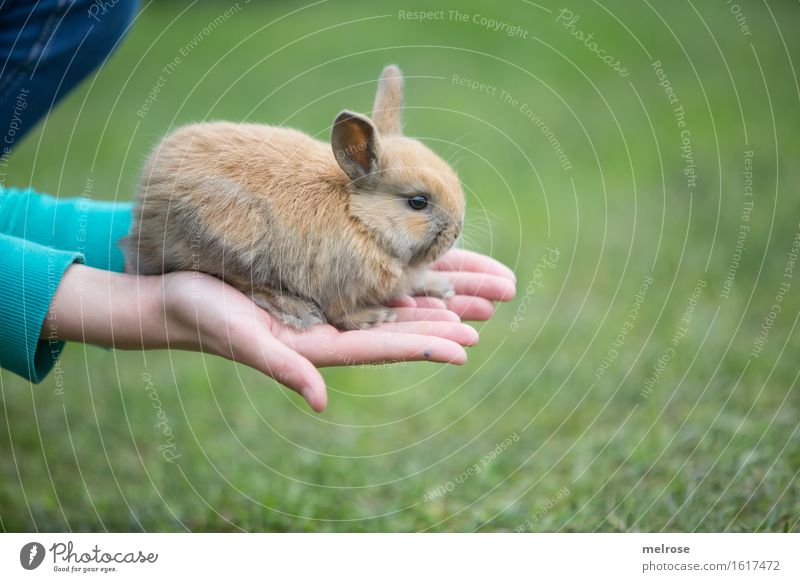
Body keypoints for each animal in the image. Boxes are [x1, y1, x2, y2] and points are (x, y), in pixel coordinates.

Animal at [122, 66, 466, 330]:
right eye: (418, 202)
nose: (456, 231)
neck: (359, 217)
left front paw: (437, 286)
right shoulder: (336, 284)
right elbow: (341, 314)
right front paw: (375, 318)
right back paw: (296, 309)